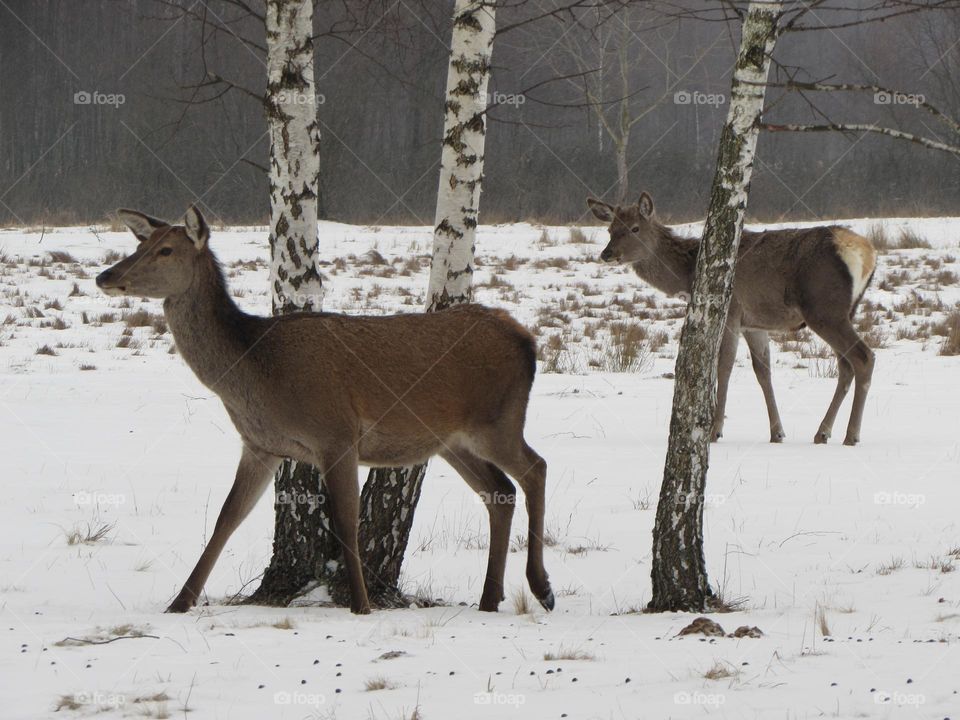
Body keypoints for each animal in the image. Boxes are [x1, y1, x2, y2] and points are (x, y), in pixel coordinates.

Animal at [95, 205, 556, 616]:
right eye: (140, 243)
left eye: (166, 250)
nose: (106, 276)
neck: (254, 372)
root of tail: (527, 341)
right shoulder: (261, 446)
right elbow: (227, 517)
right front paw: (179, 602)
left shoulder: (336, 433)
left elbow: (347, 522)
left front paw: (361, 605)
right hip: (451, 441)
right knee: (500, 492)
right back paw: (490, 598)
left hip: (498, 420)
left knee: (536, 468)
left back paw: (542, 587)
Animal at [584, 194, 876, 448]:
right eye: (610, 229)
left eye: (634, 228)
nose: (607, 253)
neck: (689, 275)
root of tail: (867, 253)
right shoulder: (754, 324)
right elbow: (763, 372)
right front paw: (777, 432)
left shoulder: (731, 312)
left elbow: (723, 367)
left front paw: (714, 430)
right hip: (844, 312)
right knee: (845, 365)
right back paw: (823, 432)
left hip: (824, 309)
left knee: (864, 356)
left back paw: (851, 435)